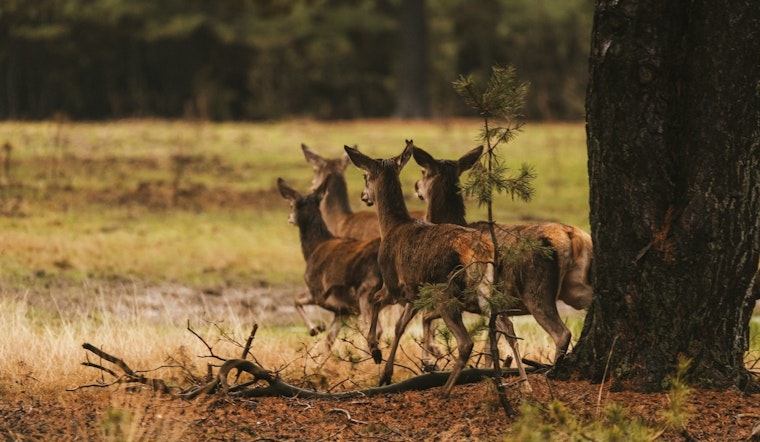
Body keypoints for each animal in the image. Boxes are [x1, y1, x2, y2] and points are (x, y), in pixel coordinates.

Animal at [277, 177, 384, 353]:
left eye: (292, 204)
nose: (289, 218)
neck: (313, 249)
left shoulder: (318, 292)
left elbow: (296, 300)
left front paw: (314, 329)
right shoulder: (343, 310)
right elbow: (329, 341)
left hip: (366, 291)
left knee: (376, 330)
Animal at [344, 140, 529, 398]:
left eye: (364, 176)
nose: (364, 196)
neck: (391, 227)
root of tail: (480, 250)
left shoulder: (393, 283)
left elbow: (376, 300)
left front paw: (375, 350)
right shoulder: (415, 293)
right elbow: (400, 326)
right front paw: (386, 373)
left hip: (445, 291)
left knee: (466, 341)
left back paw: (445, 390)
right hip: (486, 289)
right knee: (506, 326)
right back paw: (525, 383)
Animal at [411, 144, 594, 366]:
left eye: (423, 171)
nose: (416, 186)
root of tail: (572, 236)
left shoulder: (460, 293)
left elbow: (426, 316)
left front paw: (431, 355)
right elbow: (490, 347)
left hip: (536, 289)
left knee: (561, 333)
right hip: (575, 287)